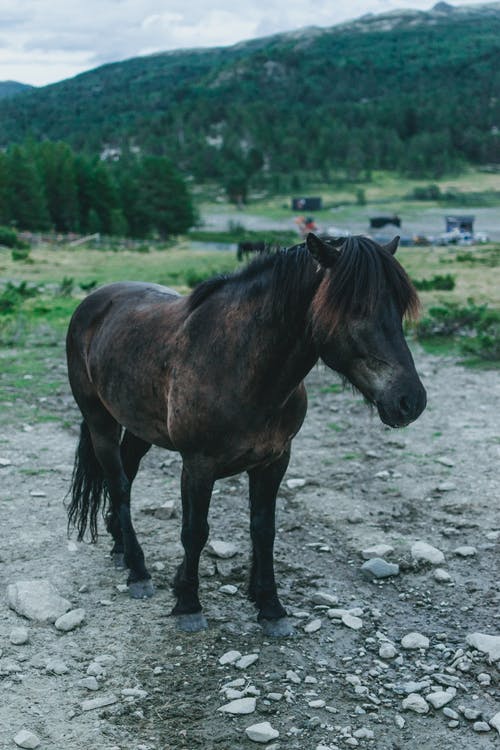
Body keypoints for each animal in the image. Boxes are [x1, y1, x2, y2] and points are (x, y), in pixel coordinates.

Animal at [65, 234, 426, 636]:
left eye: (399, 307)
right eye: (356, 308)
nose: (410, 401)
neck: (239, 364)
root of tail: (94, 301)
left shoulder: (274, 460)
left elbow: (263, 530)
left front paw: (269, 605)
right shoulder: (198, 466)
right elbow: (195, 531)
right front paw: (188, 603)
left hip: (140, 426)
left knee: (125, 476)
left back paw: (120, 548)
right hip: (101, 422)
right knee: (119, 485)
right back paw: (138, 570)